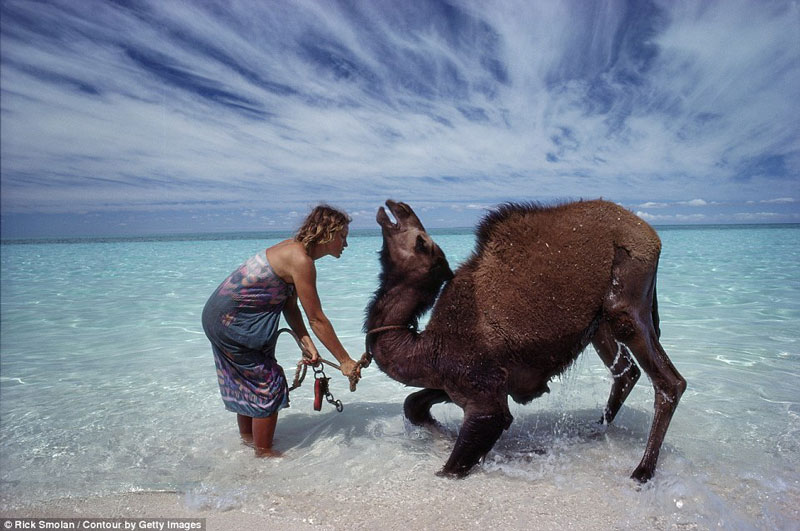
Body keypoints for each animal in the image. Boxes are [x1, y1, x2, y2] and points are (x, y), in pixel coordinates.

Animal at [366, 200, 684, 482]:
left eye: (421, 242)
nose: (395, 206)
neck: (429, 349)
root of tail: (651, 234)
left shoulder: (481, 390)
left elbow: (453, 465)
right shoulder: (462, 382)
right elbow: (413, 404)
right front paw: (444, 434)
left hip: (627, 291)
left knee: (669, 381)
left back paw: (642, 472)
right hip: (600, 321)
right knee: (627, 371)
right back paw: (595, 430)